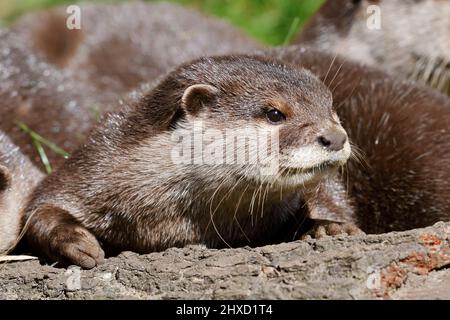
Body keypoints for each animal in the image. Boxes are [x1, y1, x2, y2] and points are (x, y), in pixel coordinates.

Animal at [22, 56, 352, 268]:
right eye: (274, 114)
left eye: (331, 107)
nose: (335, 137)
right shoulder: (91, 169)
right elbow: (39, 208)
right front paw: (77, 242)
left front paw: (325, 228)